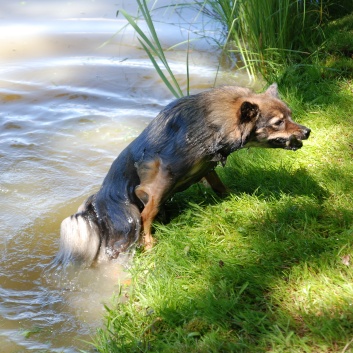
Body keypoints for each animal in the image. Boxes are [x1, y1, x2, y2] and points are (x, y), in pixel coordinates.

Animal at [54, 84, 308, 266]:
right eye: (278, 122)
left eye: (290, 115)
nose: (307, 131)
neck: (212, 125)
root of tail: (98, 202)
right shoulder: (159, 179)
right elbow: (148, 214)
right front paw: (149, 244)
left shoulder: (207, 167)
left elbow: (220, 186)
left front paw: (233, 197)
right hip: (126, 225)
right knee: (136, 224)